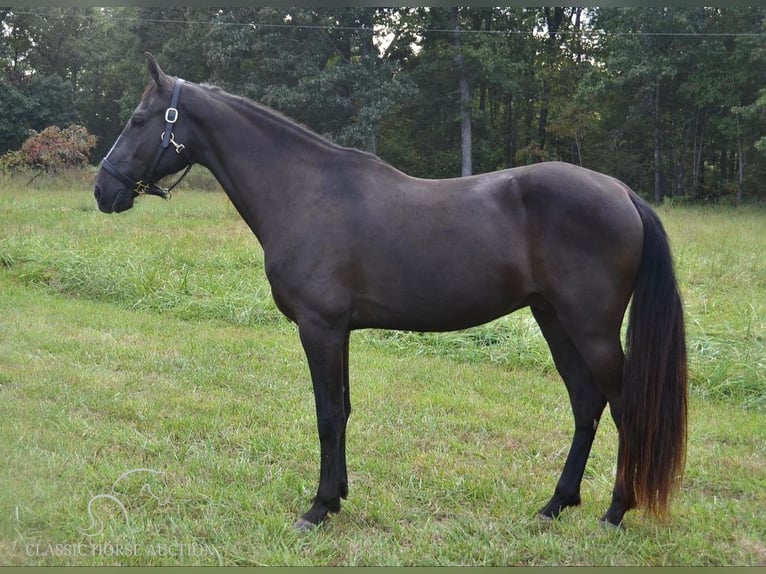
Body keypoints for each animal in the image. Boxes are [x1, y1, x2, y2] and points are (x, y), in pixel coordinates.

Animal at [96, 54, 688, 532]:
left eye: (138, 120)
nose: (103, 190)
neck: (306, 191)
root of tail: (622, 193)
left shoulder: (320, 328)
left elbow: (326, 414)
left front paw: (317, 509)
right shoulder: (339, 331)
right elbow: (343, 410)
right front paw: (337, 497)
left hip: (591, 330)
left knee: (624, 408)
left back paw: (615, 511)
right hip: (554, 320)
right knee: (586, 403)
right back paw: (555, 505)